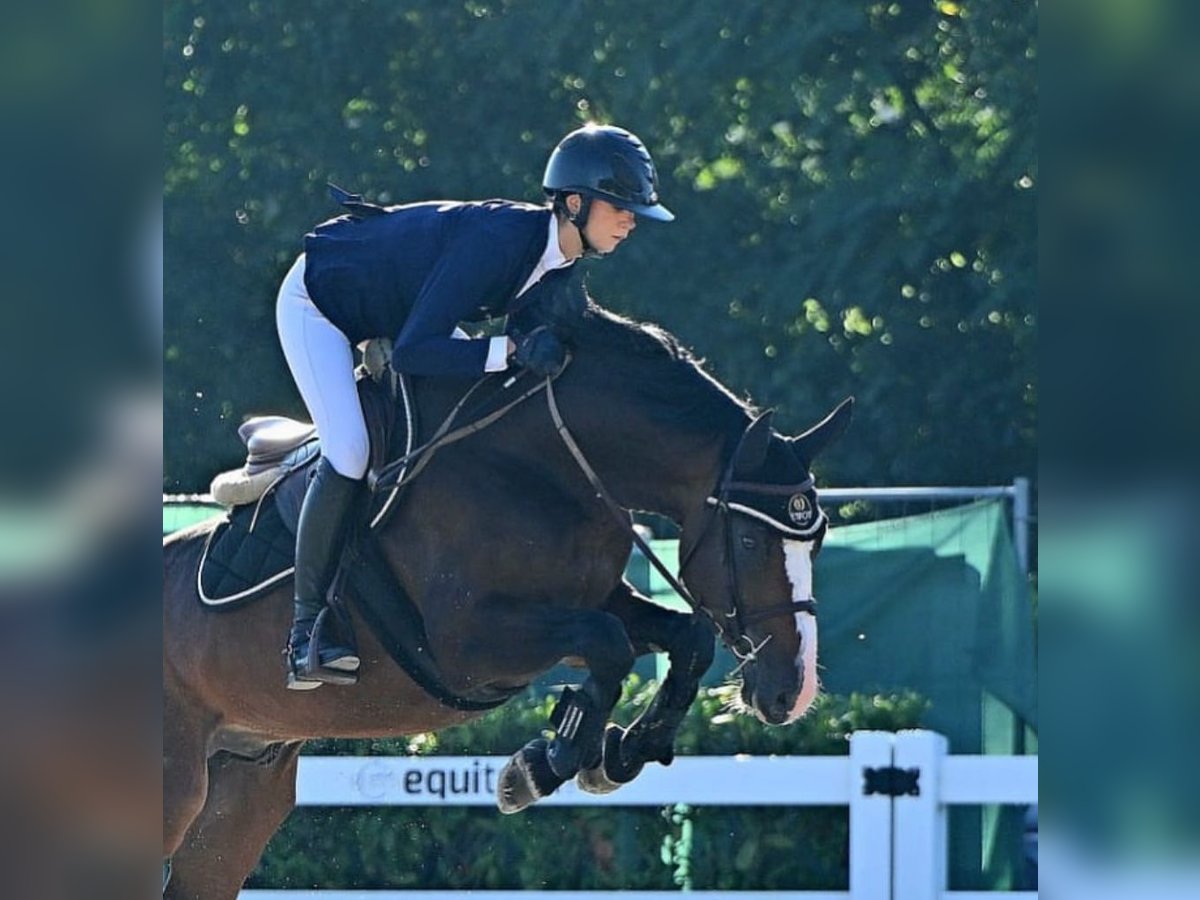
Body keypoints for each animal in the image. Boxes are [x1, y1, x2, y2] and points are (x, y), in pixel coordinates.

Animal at [162, 292, 854, 897]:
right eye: (749, 542)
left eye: (818, 539)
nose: (791, 693)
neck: (547, 464)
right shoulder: (468, 646)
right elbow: (608, 644)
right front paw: (542, 765)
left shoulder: (593, 599)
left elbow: (685, 637)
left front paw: (619, 753)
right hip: (172, 788)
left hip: (242, 792)